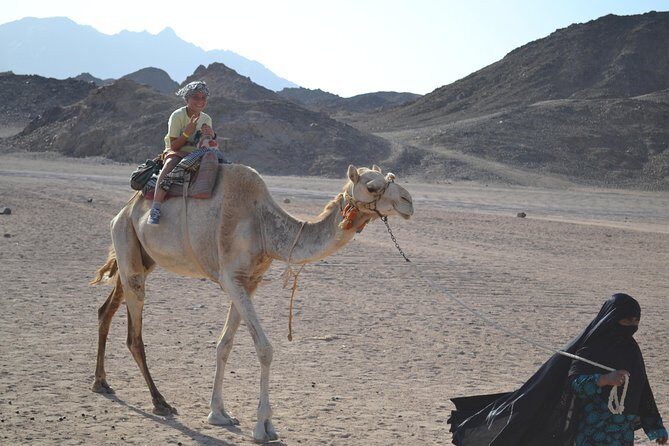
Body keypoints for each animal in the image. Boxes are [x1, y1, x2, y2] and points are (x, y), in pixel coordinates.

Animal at [91, 163, 414, 443]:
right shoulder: (231, 278)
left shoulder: (249, 281)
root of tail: (125, 209)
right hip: (128, 245)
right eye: (372, 187)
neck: (264, 226)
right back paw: (160, 402)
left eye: (390, 178)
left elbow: (224, 344)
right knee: (134, 334)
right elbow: (264, 349)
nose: (409, 201)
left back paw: (101, 382)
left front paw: (219, 413)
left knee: (106, 309)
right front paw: (264, 427)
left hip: (140, 256)